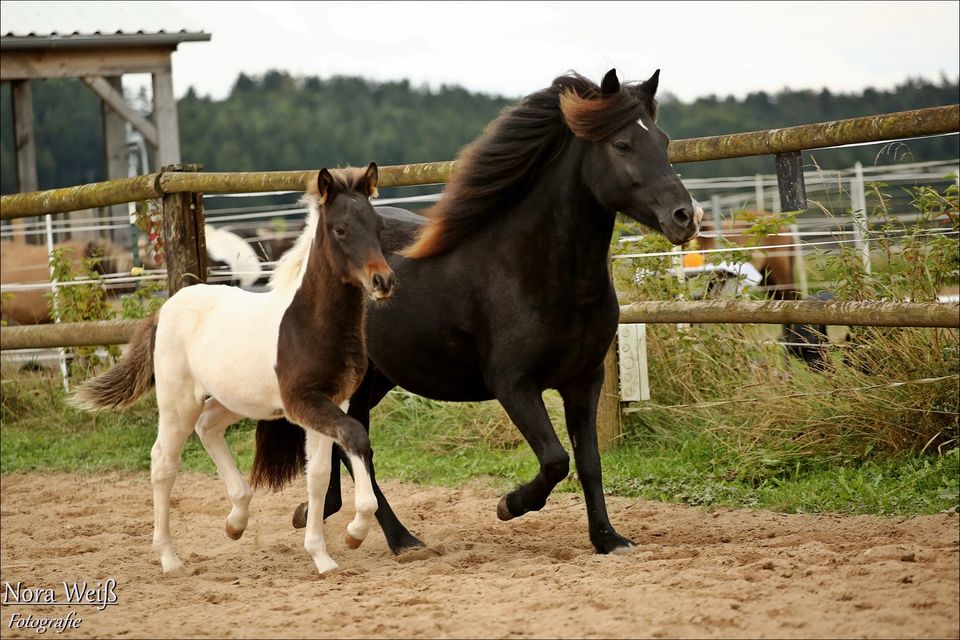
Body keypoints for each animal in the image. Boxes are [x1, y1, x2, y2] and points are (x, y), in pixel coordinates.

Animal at [70, 164, 394, 576]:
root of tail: (165, 309)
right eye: (340, 229)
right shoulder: (304, 403)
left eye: (378, 226)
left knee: (207, 426)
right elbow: (354, 437)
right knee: (163, 462)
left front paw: (324, 556)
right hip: (178, 401)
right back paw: (170, 559)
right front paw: (353, 532)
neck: (310, 324)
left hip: (235, 399)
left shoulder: (333, 400)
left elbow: (319, 475)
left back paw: (235, 521)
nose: (383, 281)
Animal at [253, 67, 704, 552]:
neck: (539, 271)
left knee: (343, 437)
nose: (686, 216)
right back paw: (402, 539)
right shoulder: (513, 383)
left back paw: (322, 512)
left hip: (375, 379)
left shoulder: (585, 380)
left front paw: (608, 539)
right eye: (622, 145)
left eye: (663, 140)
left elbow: (589, 463)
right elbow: (555, 459)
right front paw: (510, 505)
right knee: (351, 443)